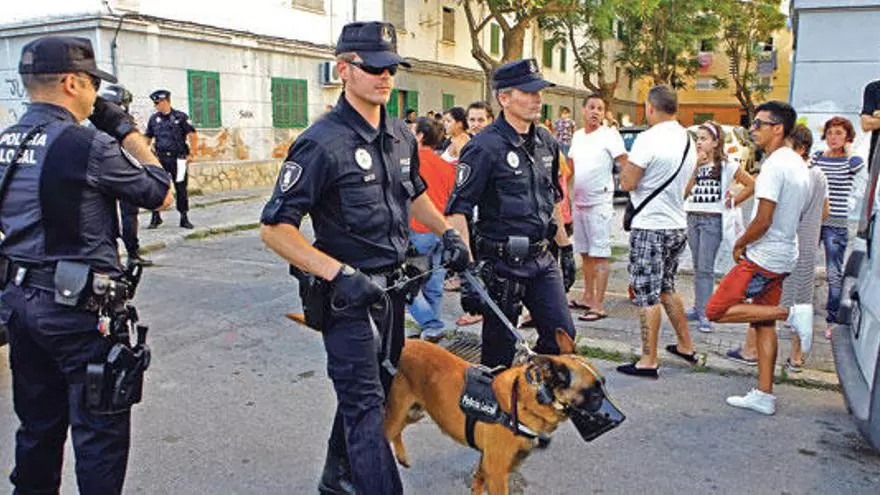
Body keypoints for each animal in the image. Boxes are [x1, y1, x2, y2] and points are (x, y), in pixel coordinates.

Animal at [384, 329, 620, 495]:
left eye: (604, 385)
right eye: (594, 394)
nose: (621, 418)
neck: (526, 400)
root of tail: (404, 343)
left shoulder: (486, 466)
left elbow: (478, 484)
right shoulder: (497, 473)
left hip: (416, 412)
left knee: (398, 430)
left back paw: (402, 456)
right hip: (398, 413)